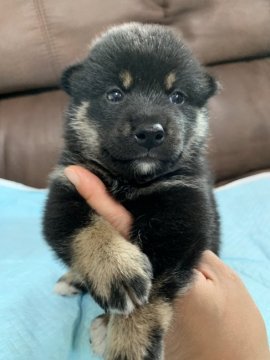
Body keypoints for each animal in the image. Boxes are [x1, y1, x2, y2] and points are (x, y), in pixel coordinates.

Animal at [42, 23, 219, 360]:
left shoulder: (181, 213)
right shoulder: (67, 188)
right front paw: (114, 269)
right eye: (115, 94)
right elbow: (86, 230)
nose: (150, 132)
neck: (131, 181)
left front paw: (130, 341)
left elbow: (151, 293)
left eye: (177, 96)